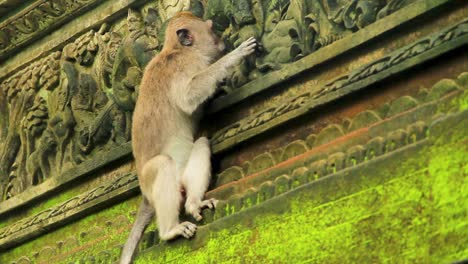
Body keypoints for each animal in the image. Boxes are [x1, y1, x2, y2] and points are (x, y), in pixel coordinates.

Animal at [118, 11, 256, 262]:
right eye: (211, 29)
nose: (221, 39)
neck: (176, 50)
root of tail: (145, 197)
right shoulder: (185, 65)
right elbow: (188, 98)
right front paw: (234, 55)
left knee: (200, 143)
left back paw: (194, 204)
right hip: (152, 181)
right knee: (163, 164)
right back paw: (170, 231)